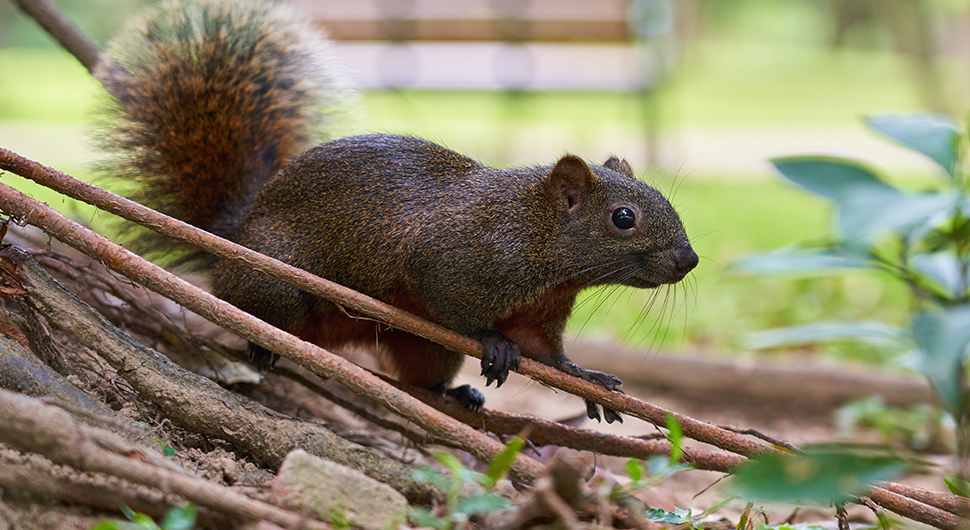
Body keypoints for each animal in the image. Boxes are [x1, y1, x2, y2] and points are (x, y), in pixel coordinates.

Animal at [92, 0, 696, 420]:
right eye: (623, 218)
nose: (689, 261)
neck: (538, 235)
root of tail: (233, 235)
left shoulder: (537, 311)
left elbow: (548, 354)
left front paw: (588, 378)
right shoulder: (454, 258)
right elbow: (457, 307)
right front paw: (494, 343)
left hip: (420, 348)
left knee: (423, 374)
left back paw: (455, 393)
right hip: (275, 284)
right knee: (259, 312)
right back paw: (263, 348)